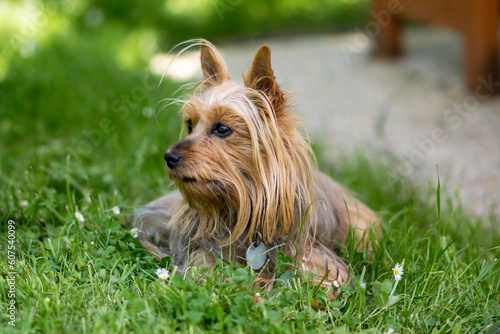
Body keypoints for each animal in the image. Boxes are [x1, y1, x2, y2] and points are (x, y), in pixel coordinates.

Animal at [134, 38, 378, 284]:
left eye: (222, 128)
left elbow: (314, 273)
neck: (242, 204)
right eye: (190, 125)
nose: (169, 157)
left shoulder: (317, 257)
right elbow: (204, 262)